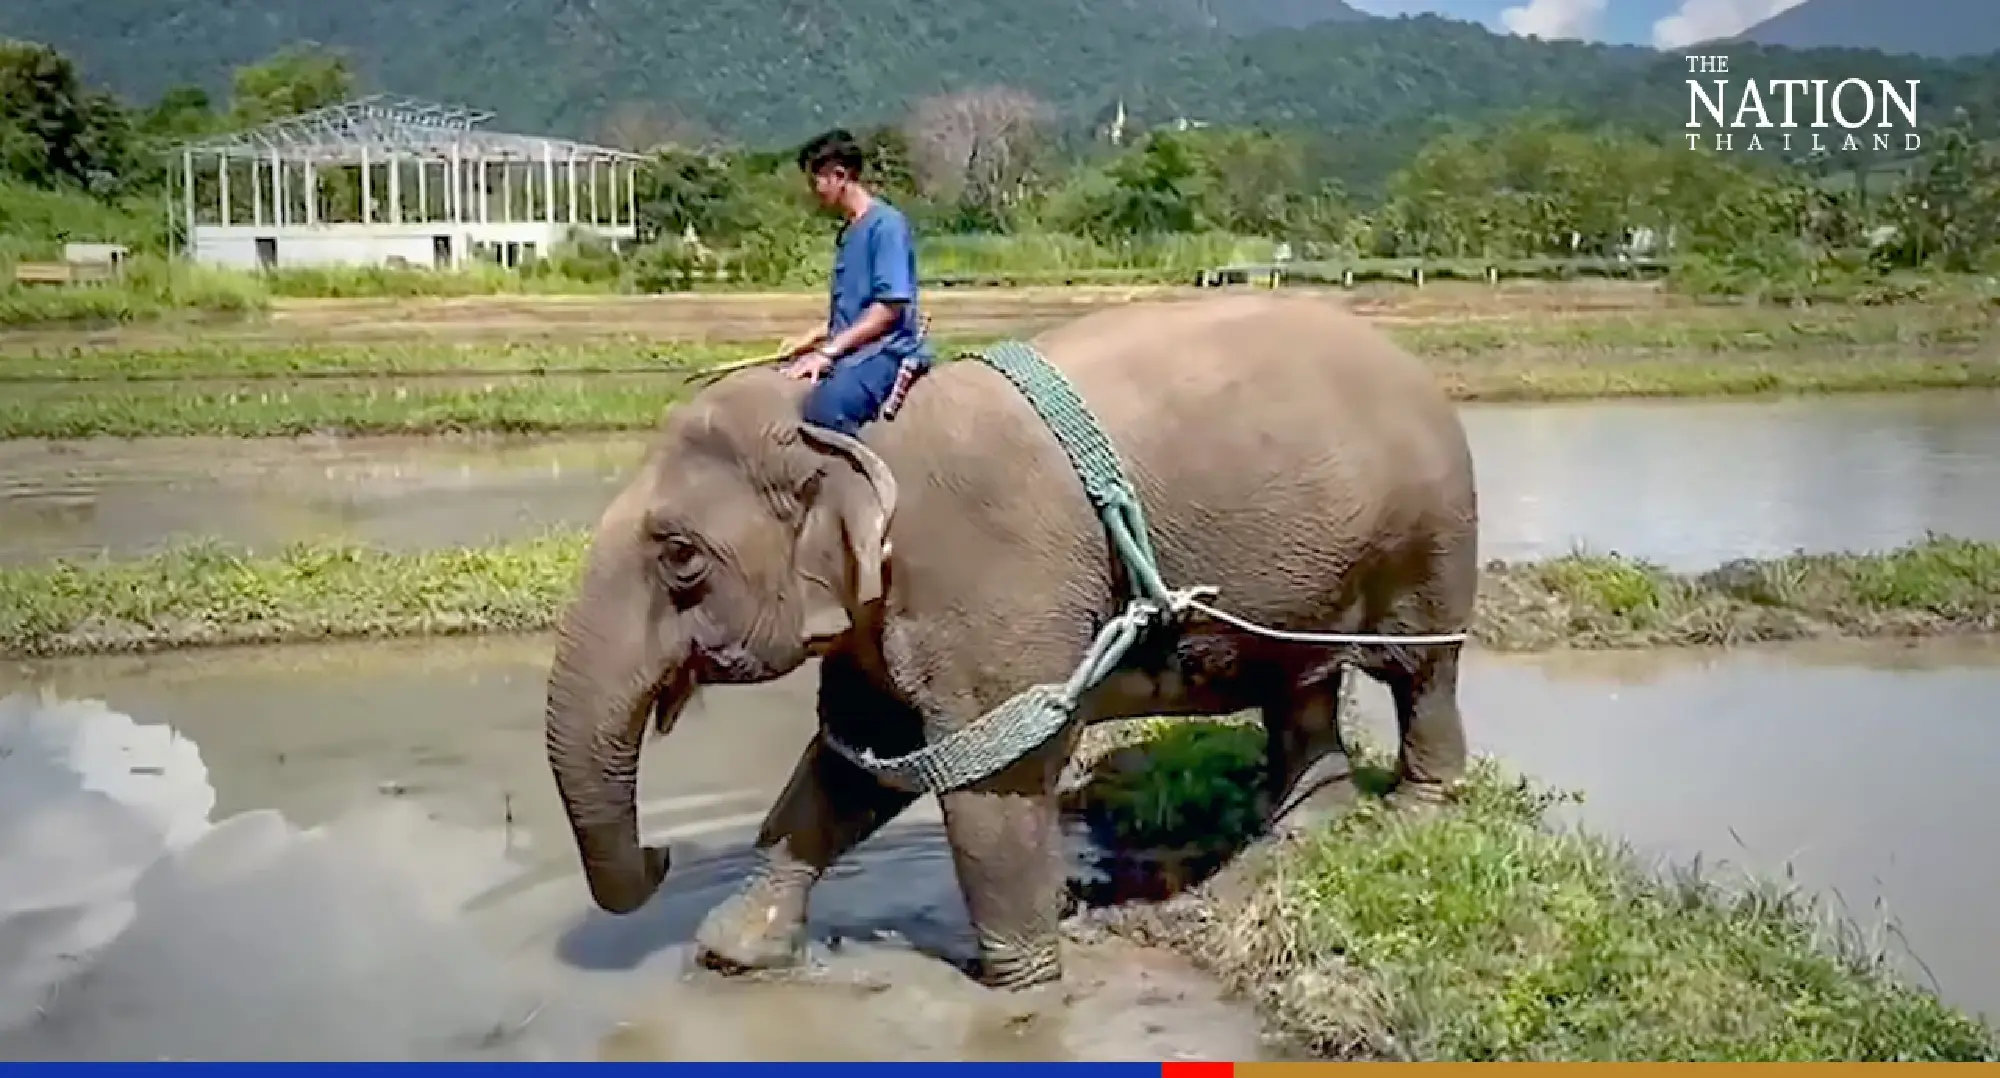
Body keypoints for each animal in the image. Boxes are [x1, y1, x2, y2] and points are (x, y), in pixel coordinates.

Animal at [543, 290, 1478, 990]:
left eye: (679, 555)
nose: (663, 854)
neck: (855, 430)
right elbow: (854, 762)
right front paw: (734, 955)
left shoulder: (989, 574)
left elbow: (990, 773)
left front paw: (1020, 986)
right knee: (1303, 682)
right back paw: (1306, 828)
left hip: (1430, 532)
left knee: (1419, 668)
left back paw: (1415, 812)